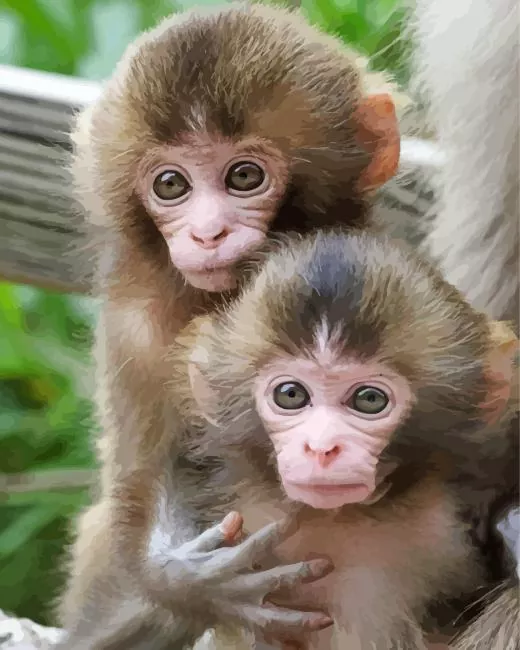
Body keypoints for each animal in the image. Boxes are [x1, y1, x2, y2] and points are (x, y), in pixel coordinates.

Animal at [57, 2, 405, 646]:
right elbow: (141, 484)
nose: (207, 233)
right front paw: (187, 579)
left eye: (244, 177)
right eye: (171, 184)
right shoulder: (133, 324)